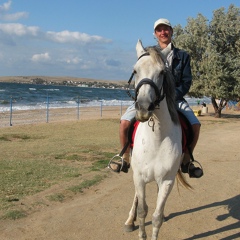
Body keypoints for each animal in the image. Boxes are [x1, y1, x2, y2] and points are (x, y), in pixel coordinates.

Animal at [124, 40, 191, 239]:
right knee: (137, 198)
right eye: (135, 70)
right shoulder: (138, 177)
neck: (157, 139)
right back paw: (129, 221)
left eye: (162, 72)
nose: (144, 108)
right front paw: (139, 229)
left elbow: (156, 217)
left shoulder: (167, 181)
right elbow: (142, 211)